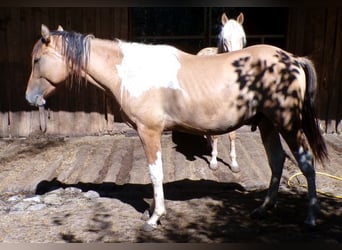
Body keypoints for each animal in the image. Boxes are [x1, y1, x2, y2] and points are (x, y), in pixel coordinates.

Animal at [198, 12, 246, 172]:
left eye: (242, 38)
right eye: (225, 39)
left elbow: (232, 135)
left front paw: (234, 163)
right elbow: (216, 136)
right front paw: (213, 161)